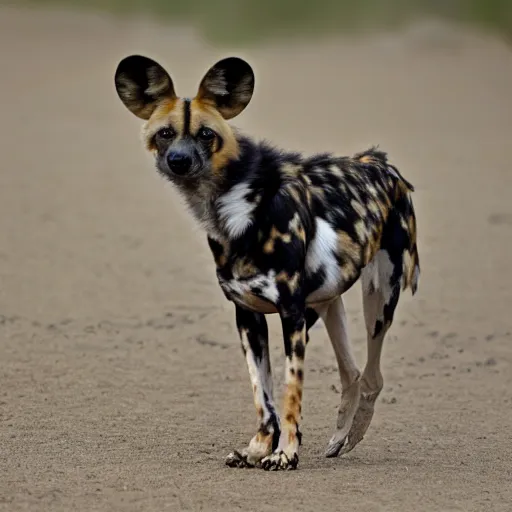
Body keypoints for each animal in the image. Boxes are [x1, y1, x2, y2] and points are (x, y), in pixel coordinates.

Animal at [115, 55, 420, 468]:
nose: (179, 160)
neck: (238, 210)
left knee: (372, 376)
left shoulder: (291, 314)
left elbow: (290, 393)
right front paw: (259, 447)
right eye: (165, 134)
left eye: (206, 134)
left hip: (379, 300)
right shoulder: (248, 316)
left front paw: (286, 453)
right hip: (328, 306)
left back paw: (348, 438)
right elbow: (263, 394)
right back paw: (339, 439)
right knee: (353, 374)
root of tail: (378, 160)